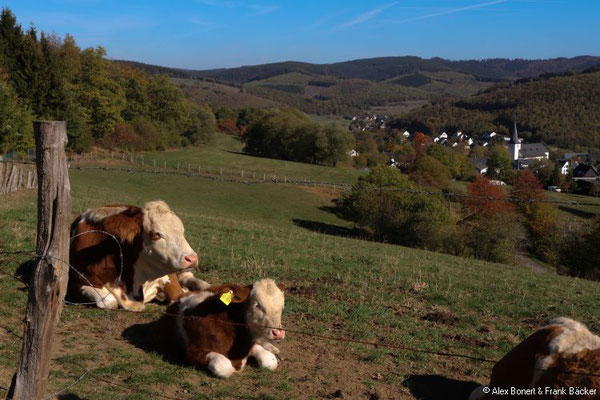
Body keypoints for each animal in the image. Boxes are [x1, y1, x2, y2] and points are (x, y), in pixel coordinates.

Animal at [67, 202, 209, 310]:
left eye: (182, 232)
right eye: (156, 234)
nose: (192, 259)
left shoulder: (168, 276)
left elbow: (177, 296)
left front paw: (186, 291)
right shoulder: (77, 282)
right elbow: (109, 302)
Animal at [155, 278, 286, 378]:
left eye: (282, 306)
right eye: (257, 305)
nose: (278, 333)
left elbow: (270, 361)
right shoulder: (191, 352)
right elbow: (224, 365)